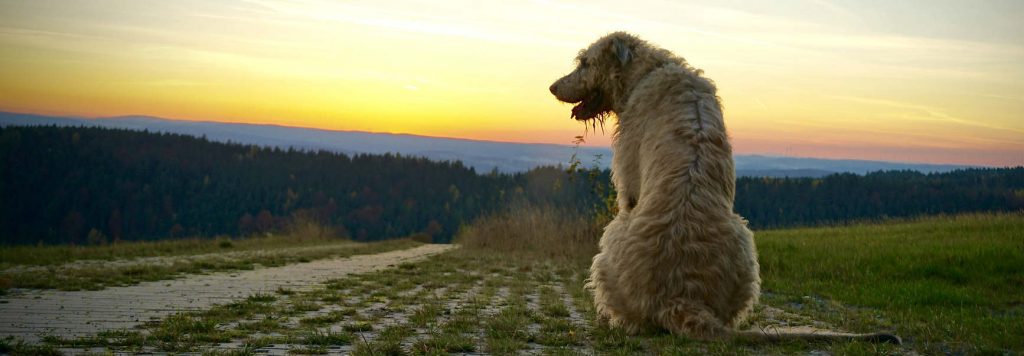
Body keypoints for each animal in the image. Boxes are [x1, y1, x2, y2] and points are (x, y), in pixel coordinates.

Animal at [548, 31, 901, 343]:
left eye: (584, 62)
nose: (551, 86)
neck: (648, 71)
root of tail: (681, 300)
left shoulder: (629, 177)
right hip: (744, 242)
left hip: (611, 242)